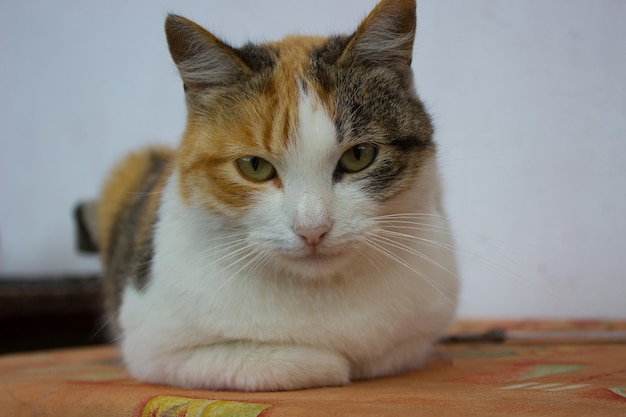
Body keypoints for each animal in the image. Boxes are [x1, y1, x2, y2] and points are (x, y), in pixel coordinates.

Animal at [89, 0, 458, 390]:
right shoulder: (155, 353)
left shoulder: (414, 338)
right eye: (254, 166)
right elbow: (300, 362)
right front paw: (333, 362)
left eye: (359, 155)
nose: (313, 229)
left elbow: (384, 356)